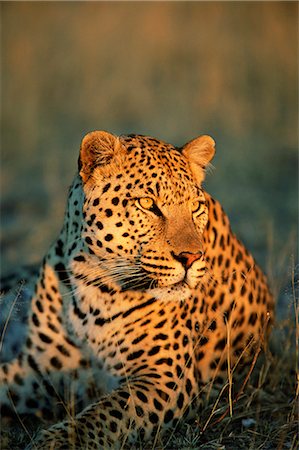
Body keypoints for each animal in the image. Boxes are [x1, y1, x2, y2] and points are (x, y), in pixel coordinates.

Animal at [0, 131, 274, 450]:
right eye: (147, 203)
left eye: (196, 207)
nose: (191, 257)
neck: (93, 282)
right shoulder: (40, 368)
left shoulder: (164, 377)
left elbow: (103, 415)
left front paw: (56, 441)